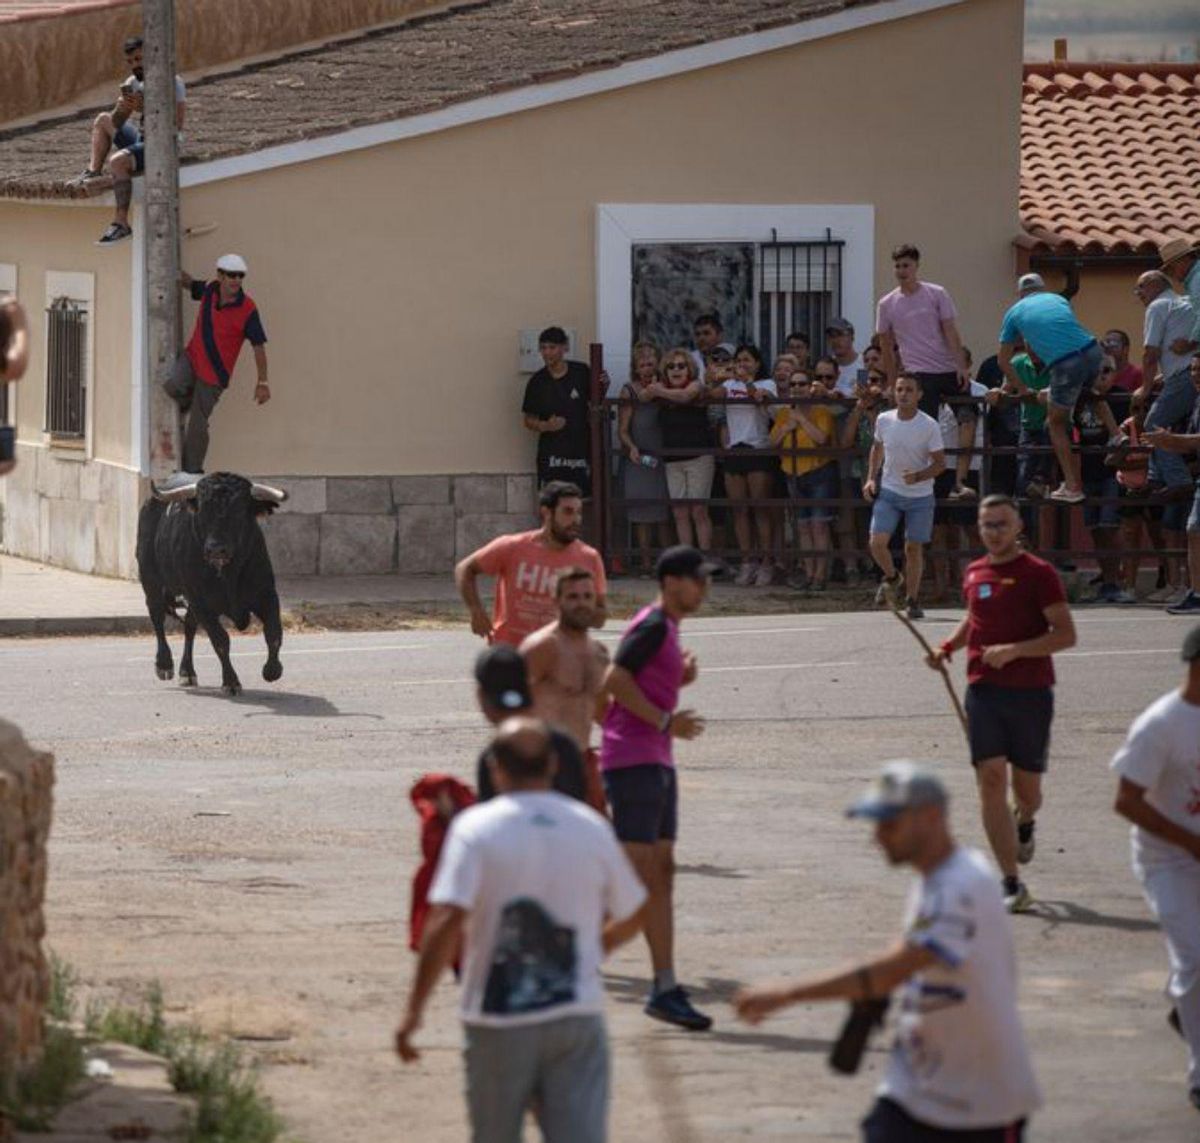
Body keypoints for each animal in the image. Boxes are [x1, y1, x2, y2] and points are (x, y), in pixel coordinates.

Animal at [135, 468, 288, 691]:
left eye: (239, 511)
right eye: (202, 511)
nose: (216, 549)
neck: (228, 573)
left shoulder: (267, 594)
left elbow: (274, 632)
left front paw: (272, 670)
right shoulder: (201, 602)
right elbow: (220, 640)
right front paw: (231, 682)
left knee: (189, 626)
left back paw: (187, 672)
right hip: (151, 580)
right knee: (156, 616)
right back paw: (164, 665)